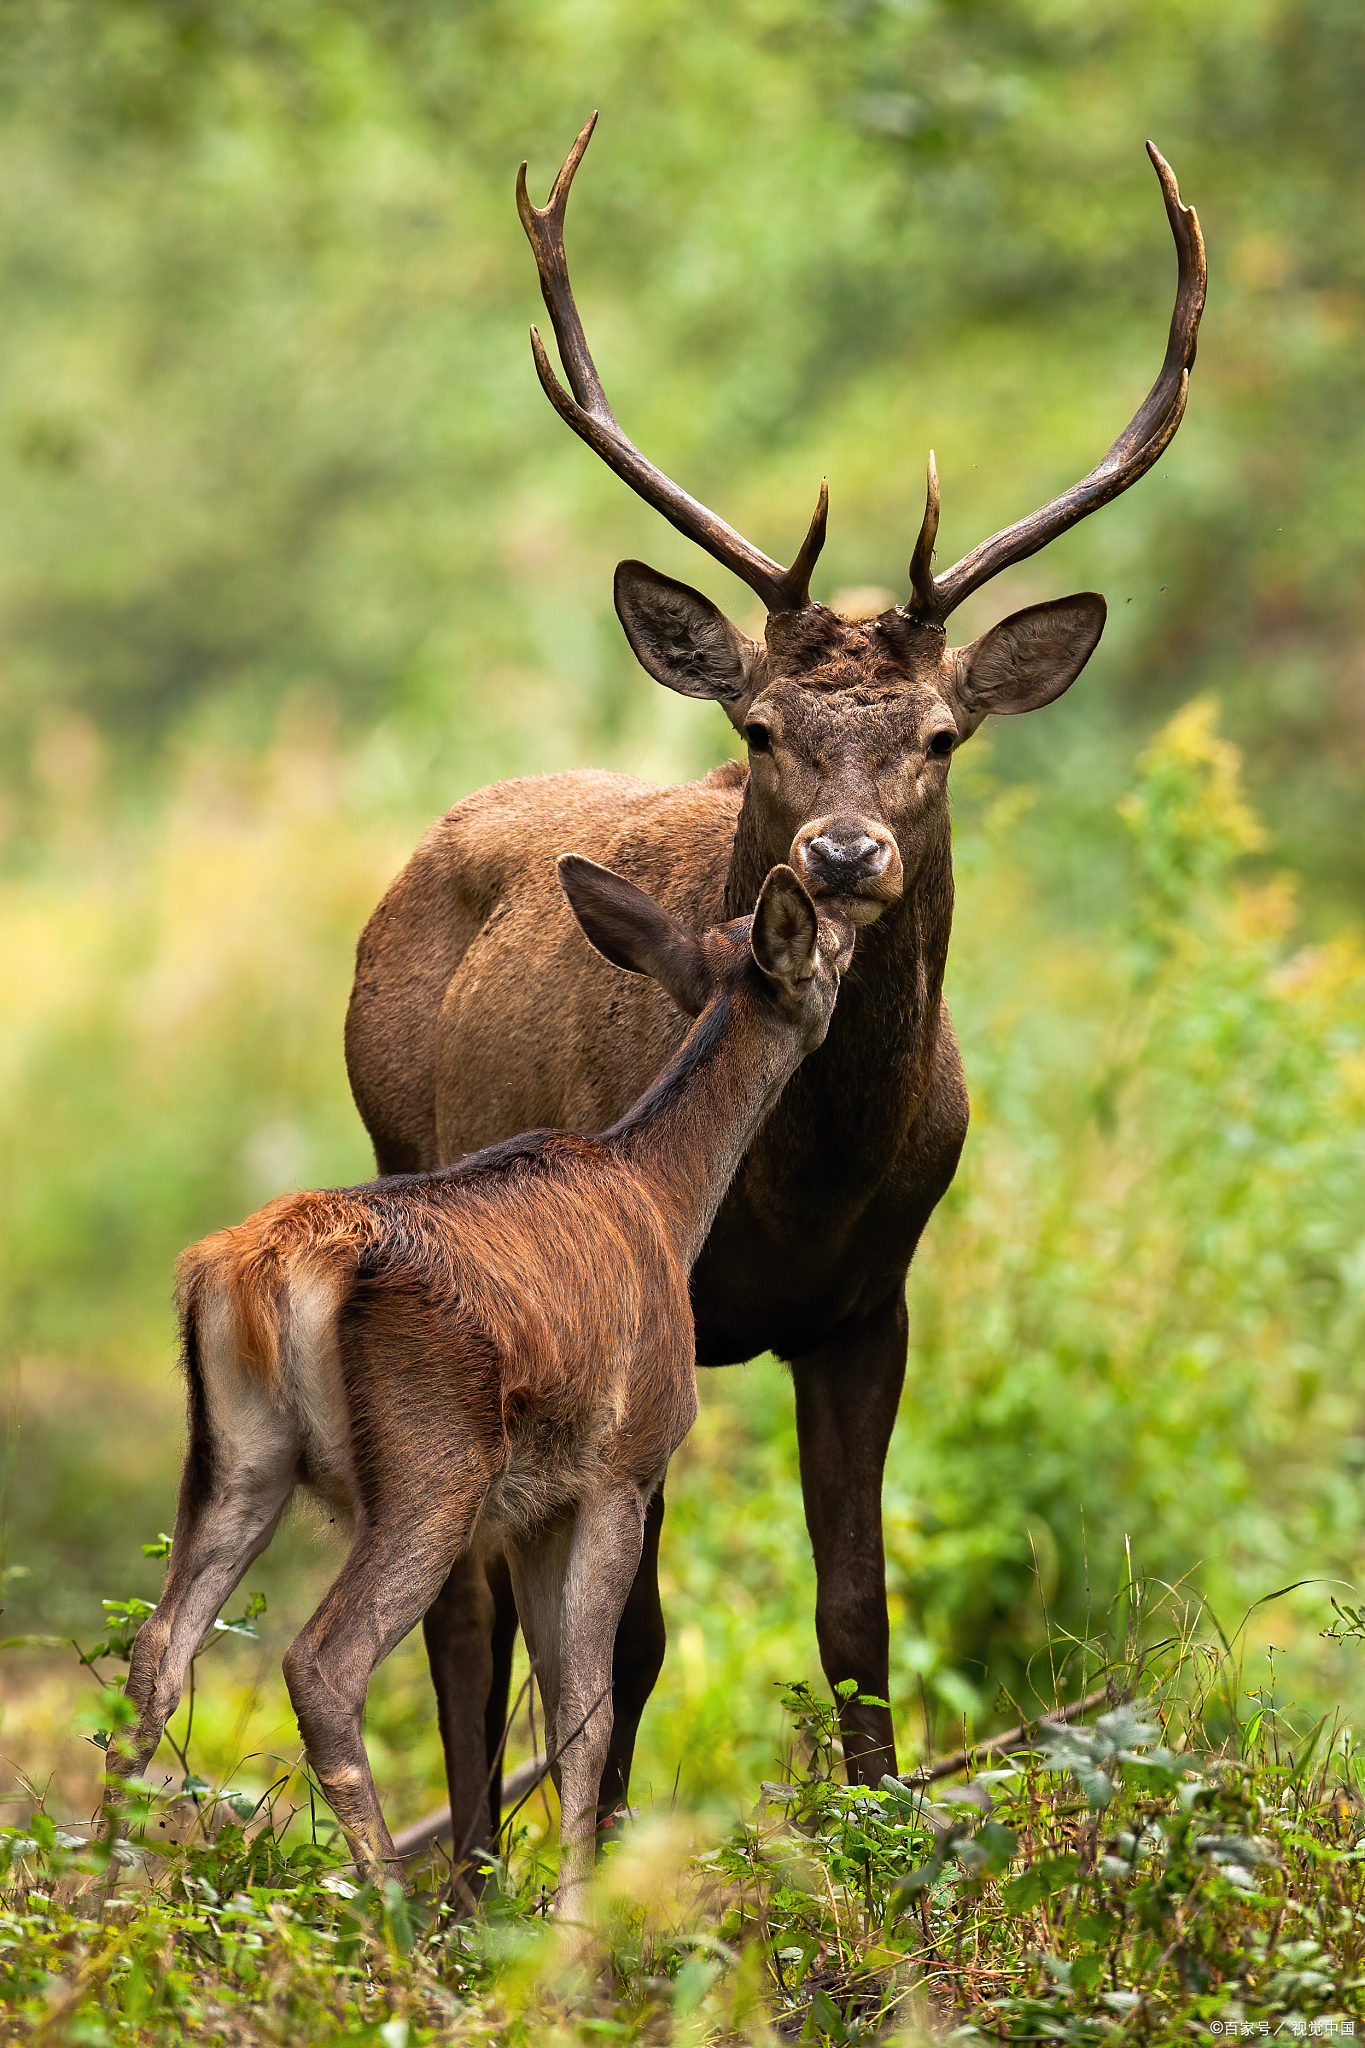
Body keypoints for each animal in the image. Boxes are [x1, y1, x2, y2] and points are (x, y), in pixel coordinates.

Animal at [110, 858, 852, 1915]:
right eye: (822, 942)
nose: (855, 931)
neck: (667, 1200)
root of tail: (260, 1273)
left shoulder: (536, 1505)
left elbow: (558, 1697)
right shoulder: (621, 1468)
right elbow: (587, 1707)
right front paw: (576, 1919)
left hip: (237, 1453)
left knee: (157, 1649)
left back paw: (95, 1893)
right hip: (433, 1462)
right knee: (322, 1662)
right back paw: (392, 1914)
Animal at [343, 117, 1206, 1866]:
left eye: (940, 735)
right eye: (755, 728)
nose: (845, 848)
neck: (799, 1187)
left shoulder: (873, 1303)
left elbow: (856, 1613)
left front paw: (879, 1857)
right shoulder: (637, 1318)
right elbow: (628, 1635)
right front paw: (600, 1866)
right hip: (418, 1190)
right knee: (464, 1599)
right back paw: (464, 1867)